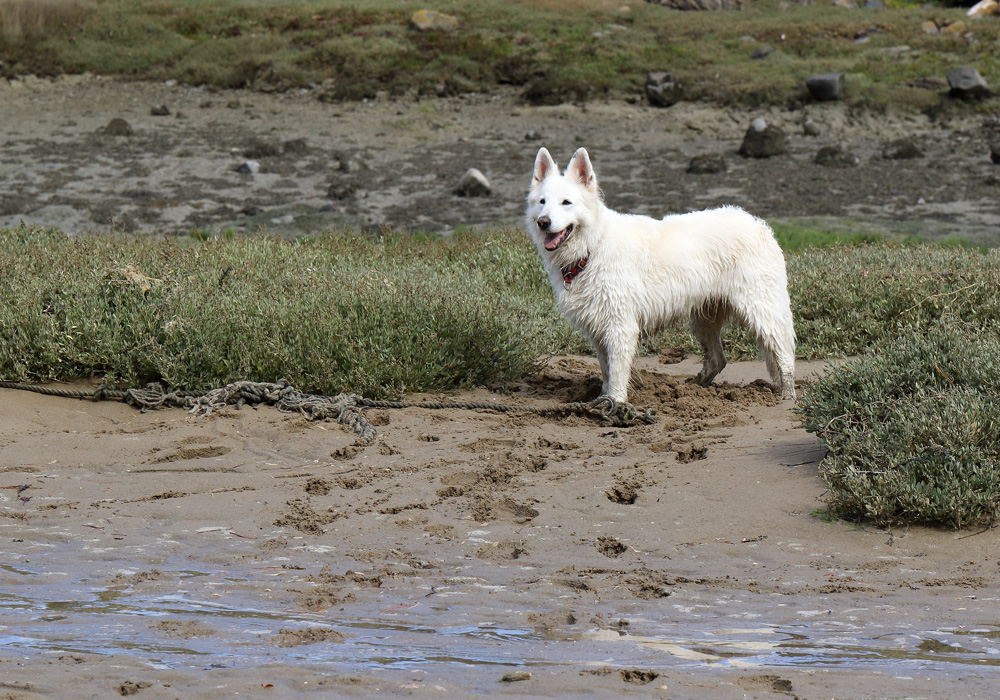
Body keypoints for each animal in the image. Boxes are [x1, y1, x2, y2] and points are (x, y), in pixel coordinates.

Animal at [525, 147, 796, 415]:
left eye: (566, 202)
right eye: (542, 202)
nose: (543, 222)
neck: (592, 247)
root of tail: (758, 225)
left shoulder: (620, 328)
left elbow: (617, 374)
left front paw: (616, 404)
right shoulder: (598, 330)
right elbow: (606, 371)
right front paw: (601, 401)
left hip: (763, 312)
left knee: (785, 357)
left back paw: (788, 398)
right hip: (703, 319)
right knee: (718, 359)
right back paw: (693, 389)